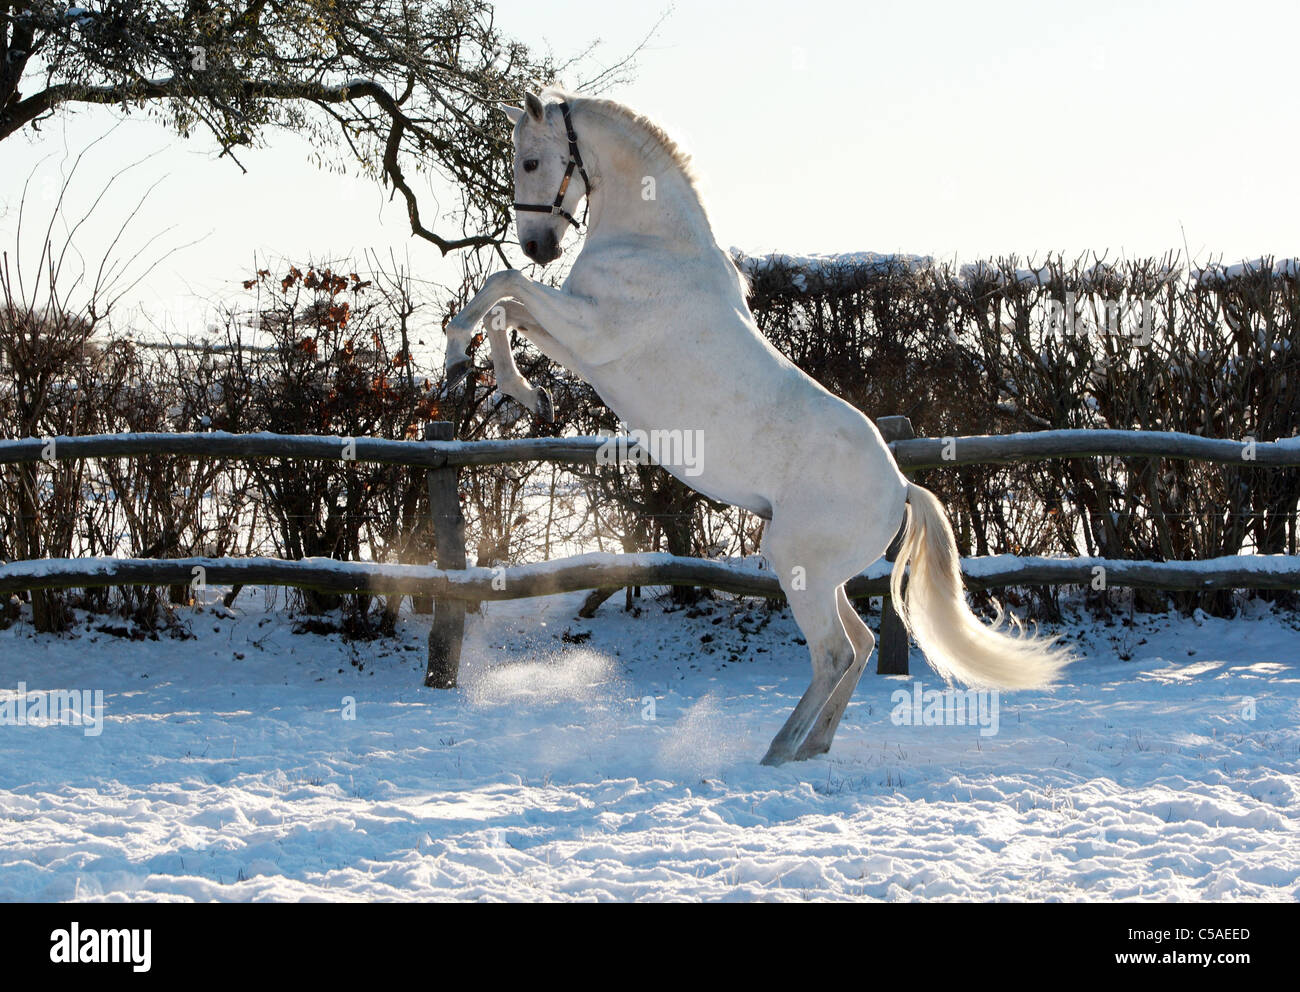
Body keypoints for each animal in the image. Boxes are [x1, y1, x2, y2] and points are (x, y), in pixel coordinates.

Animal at [441, 89, 1071, 764]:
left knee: (834, 653)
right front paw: (520, 390)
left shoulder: (591, 333)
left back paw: (778, 752)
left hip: (800, 566)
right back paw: (811, 747)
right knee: (860, 645)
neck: (656, 245)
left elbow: (503, 288)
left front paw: (464, 358)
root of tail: (902, 488)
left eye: (531, 162)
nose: (538, 246)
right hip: (820, 575)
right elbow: (508, 309)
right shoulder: (573, 340)